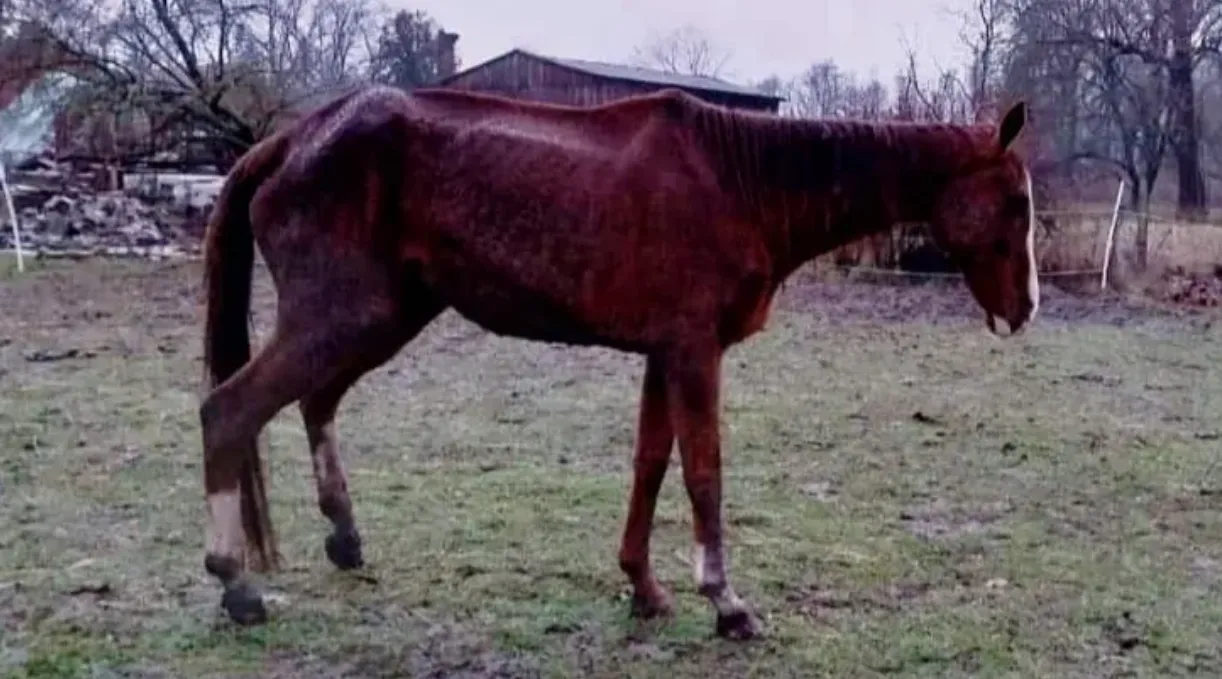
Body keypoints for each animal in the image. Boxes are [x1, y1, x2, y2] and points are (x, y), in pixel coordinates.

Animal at [198, 84, 1040, 640]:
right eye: (1016, 203)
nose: (1028, 306)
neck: (740, 180)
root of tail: (294, 138)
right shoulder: (693, 351)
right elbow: (703, 472)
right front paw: (725, 602)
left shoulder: (663, 353)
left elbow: (651, 464)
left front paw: (644, 585)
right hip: (343, 316)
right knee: (229, 411)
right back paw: (236, 582)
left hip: (383, 316)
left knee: (316, 402)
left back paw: (344, 538)